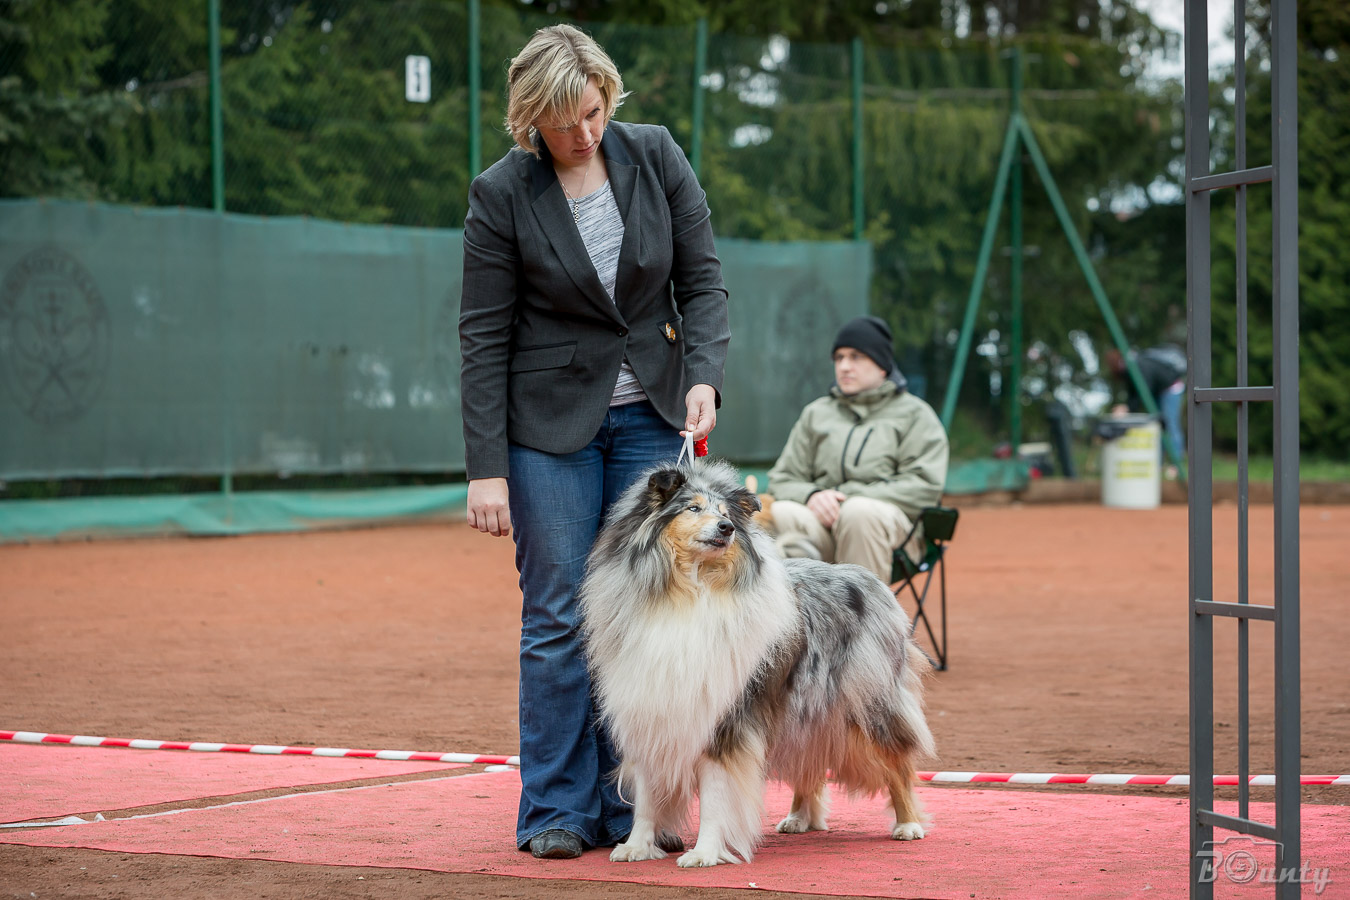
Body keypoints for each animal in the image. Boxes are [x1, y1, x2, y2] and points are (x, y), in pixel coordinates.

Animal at [579, 460, 935, 867]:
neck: (688, 593)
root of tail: (865, 576)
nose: (726, 528)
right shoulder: (649, 710)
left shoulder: (724, 716)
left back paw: (908, 825)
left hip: (866, 705)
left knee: (897, 762)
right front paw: (636, 846)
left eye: (725, 513)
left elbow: (715, 794)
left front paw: (704, 853)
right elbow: (647, 795)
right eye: (693, 508)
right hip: (803, 712)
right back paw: (799, 818)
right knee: (810, 761)